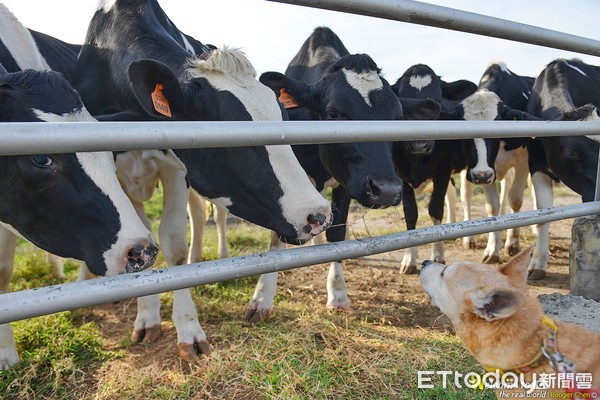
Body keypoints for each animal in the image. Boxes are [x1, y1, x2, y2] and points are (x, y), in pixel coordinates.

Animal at [74, 0, 332, 360]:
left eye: (285, 123)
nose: (319, 215)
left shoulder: (178, 168)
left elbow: (173, 243)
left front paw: (187, 331)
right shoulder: (114, 169)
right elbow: (142, 245)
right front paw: (147, 319)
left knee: (213, 216)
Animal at [247, 26, 426, 322]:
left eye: (398, 119)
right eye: (333, 114)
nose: (387, 189)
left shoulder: (344, 184)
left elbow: (337, 233)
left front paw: (338, 293)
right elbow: (277, 233)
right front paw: (262, 299)